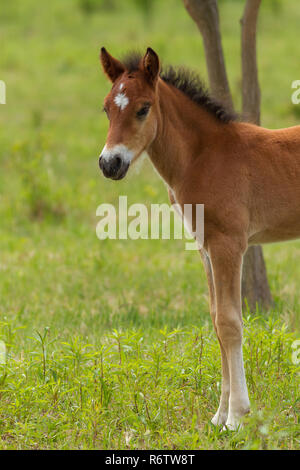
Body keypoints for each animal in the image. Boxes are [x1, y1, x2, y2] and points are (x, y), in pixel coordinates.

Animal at [98, 46, 300, 430]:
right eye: (106, 108)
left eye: (143, 108)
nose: (109, 164)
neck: (203, 157)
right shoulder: (205, 247)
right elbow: (216, 319)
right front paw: (218, 416)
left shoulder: (229, 245)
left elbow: (230, 323)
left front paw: (237, 416)